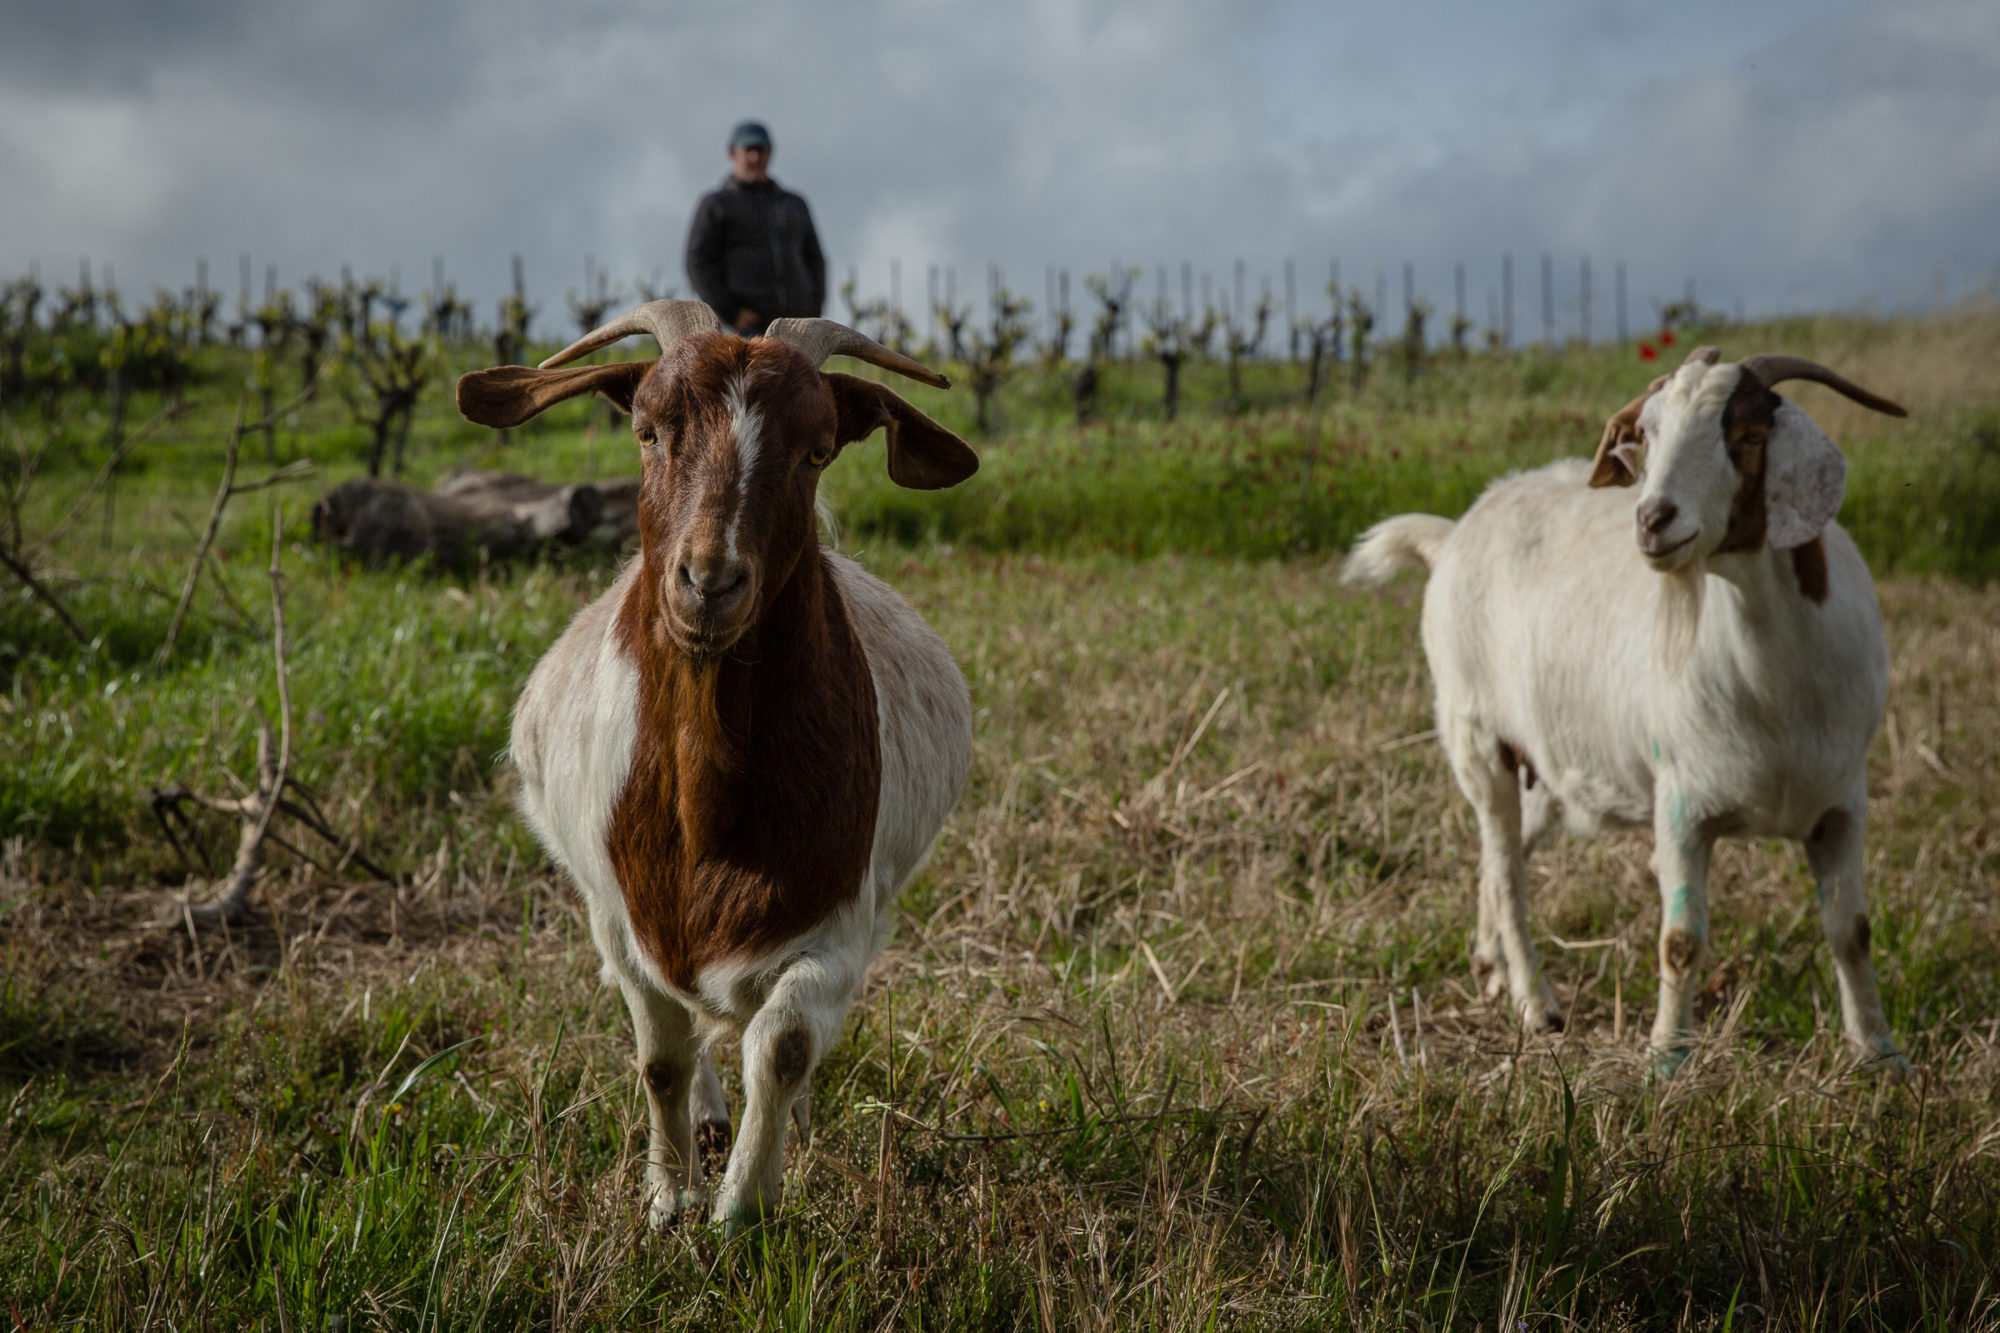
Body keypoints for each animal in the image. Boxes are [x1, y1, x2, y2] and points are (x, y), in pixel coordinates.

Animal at [1344, 342, 1904, 1072]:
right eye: (1649, 433)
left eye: (1748, 435)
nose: (1651, 519)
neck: (1776, 682)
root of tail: (1454, 532)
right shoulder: (1682, 800)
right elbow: (1681, 940)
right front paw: (1667, 1058)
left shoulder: (1842, 801)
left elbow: (1852, 930)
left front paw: (1880, 1052)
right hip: (1475, 738)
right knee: (1506, 870)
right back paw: (1536, 1002)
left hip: (1548, 770)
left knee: (1504, 855)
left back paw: (1490, 961)